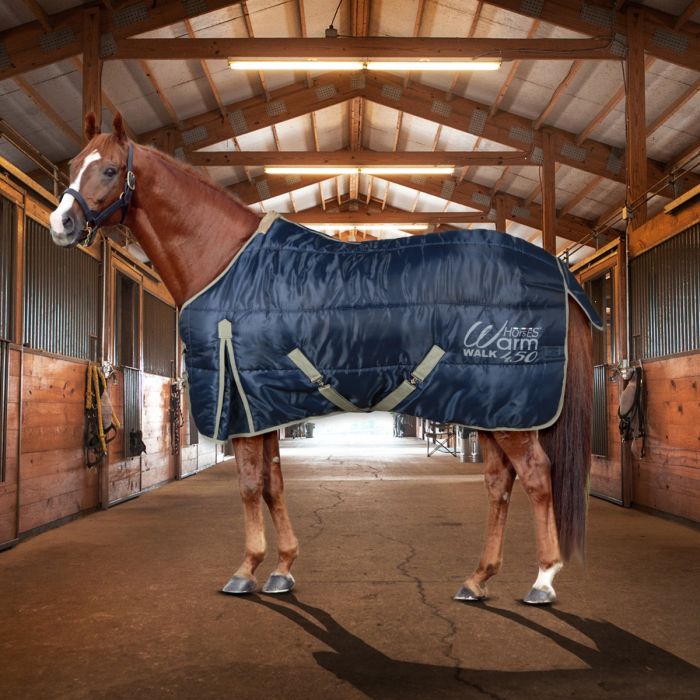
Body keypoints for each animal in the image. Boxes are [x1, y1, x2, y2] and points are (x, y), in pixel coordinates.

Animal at [49, 113, 594, 605]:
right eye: (75, 164)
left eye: (110, 170)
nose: (61, 224)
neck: (224, 258)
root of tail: (555, 268)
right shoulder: (261, 406)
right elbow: (273, 484)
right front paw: (282, 568)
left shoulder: (244, 403)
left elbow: (249, 486)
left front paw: (245, 571)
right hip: (492, 407)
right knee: (500, 482)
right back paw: (478, 580)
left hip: (510, 410)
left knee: (537, 477)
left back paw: (543, 581)